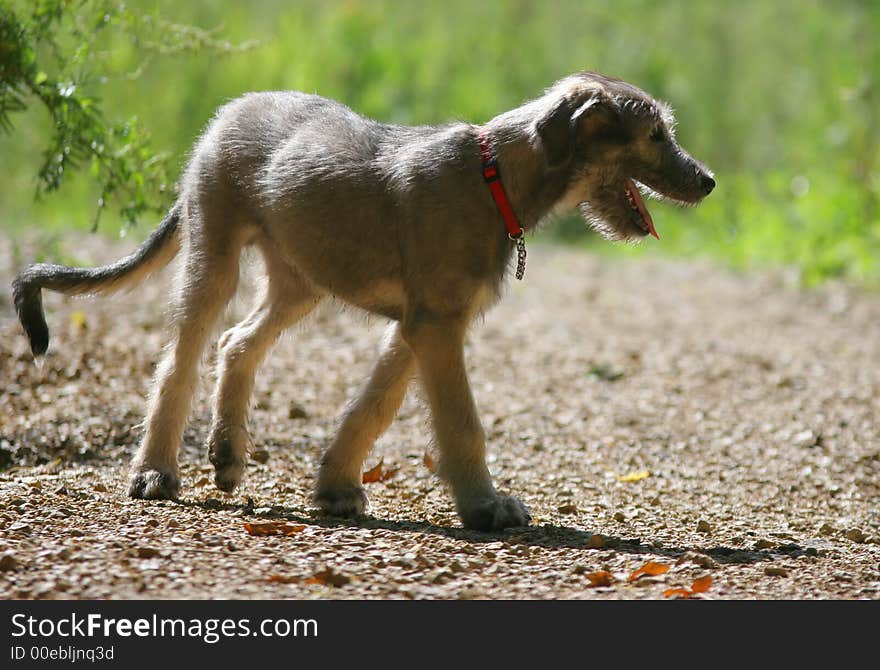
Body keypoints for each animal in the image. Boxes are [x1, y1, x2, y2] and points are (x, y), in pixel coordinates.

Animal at [15, 72, 716, 532]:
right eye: (655, 134)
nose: (709, 181)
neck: (494, 176)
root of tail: (226, 113)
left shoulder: (420, 324)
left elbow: (374, 406)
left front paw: (336, 486)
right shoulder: (437, 327)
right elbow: (461, 422)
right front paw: (485, 506)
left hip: (301, 280)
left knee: (238, 344)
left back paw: (228, 454)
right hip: (213, 258)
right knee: (179, 362)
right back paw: (157, 473)